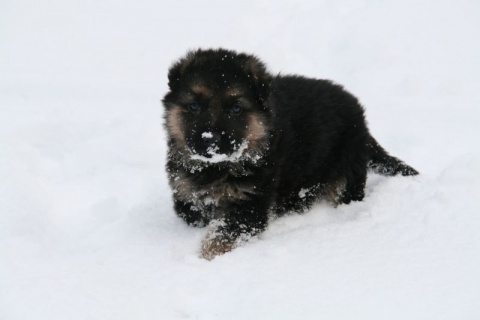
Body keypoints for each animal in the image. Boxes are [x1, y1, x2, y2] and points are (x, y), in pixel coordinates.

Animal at [161, 48, 416, 260]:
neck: (217, 167)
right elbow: (196, 214)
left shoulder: (251, 202)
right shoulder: (185, 193)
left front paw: (205, 257)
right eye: (193, 106)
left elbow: (222, 234)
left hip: (346, 171)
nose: (210, 141)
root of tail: (360, 117)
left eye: (235, 108)